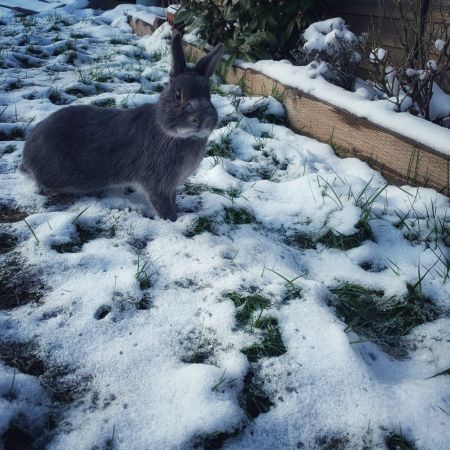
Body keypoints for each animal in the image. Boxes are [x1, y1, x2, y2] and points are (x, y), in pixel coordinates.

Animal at [20, 33, 224, 222]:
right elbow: (163, 206)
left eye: (209, 96)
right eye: (178, 95)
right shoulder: (157, 184)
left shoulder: (171, 186)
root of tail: (27, 153)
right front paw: (173, 220)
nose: (200, 119)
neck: (174, 134)